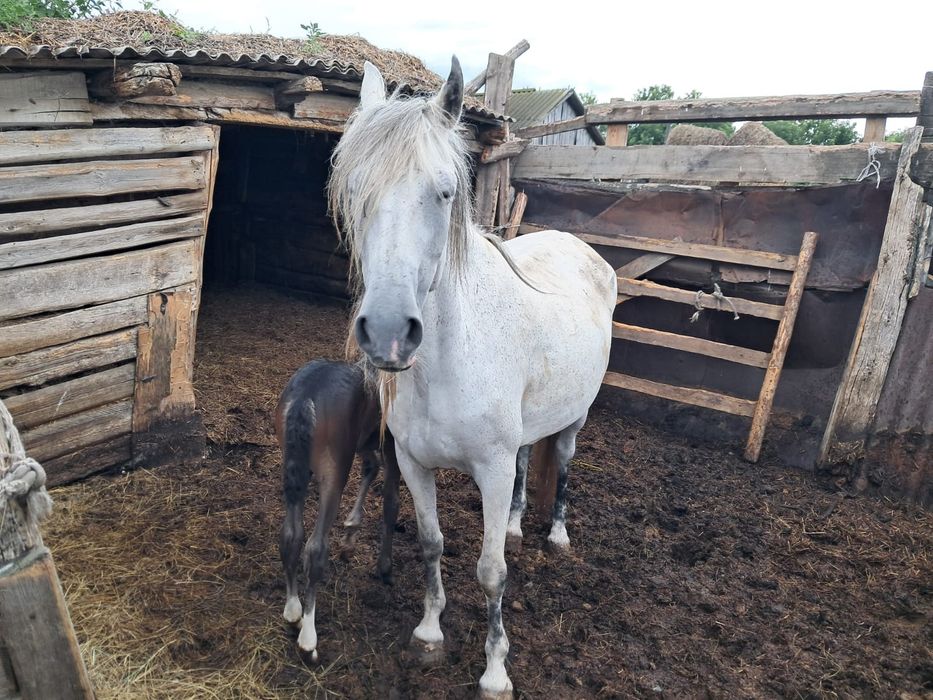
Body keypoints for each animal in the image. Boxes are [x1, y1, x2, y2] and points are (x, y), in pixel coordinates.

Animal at [274, 359, 400, 662]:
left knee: (290, 536)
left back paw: (293, 612)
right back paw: (308, 639)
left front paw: (350, 535)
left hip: (292, 470)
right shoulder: (391, 443)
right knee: (315, 547)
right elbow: (391, 501)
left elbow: (371, 466)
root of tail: (305, 398)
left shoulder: (366, 442)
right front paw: (385, 567)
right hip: (333, 473)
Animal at [327, 57, 616, 698]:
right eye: (355, 190)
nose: (389, 331)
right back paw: (513, 524)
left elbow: (490, 573)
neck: (449, 363)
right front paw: (429, 634)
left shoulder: (489, 467)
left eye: (444, 192)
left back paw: (556, 535)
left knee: (562, 461)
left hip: (575, 419)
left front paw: (495, 669)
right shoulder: (414, 463)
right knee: (527, 461)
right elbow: (432, 544)